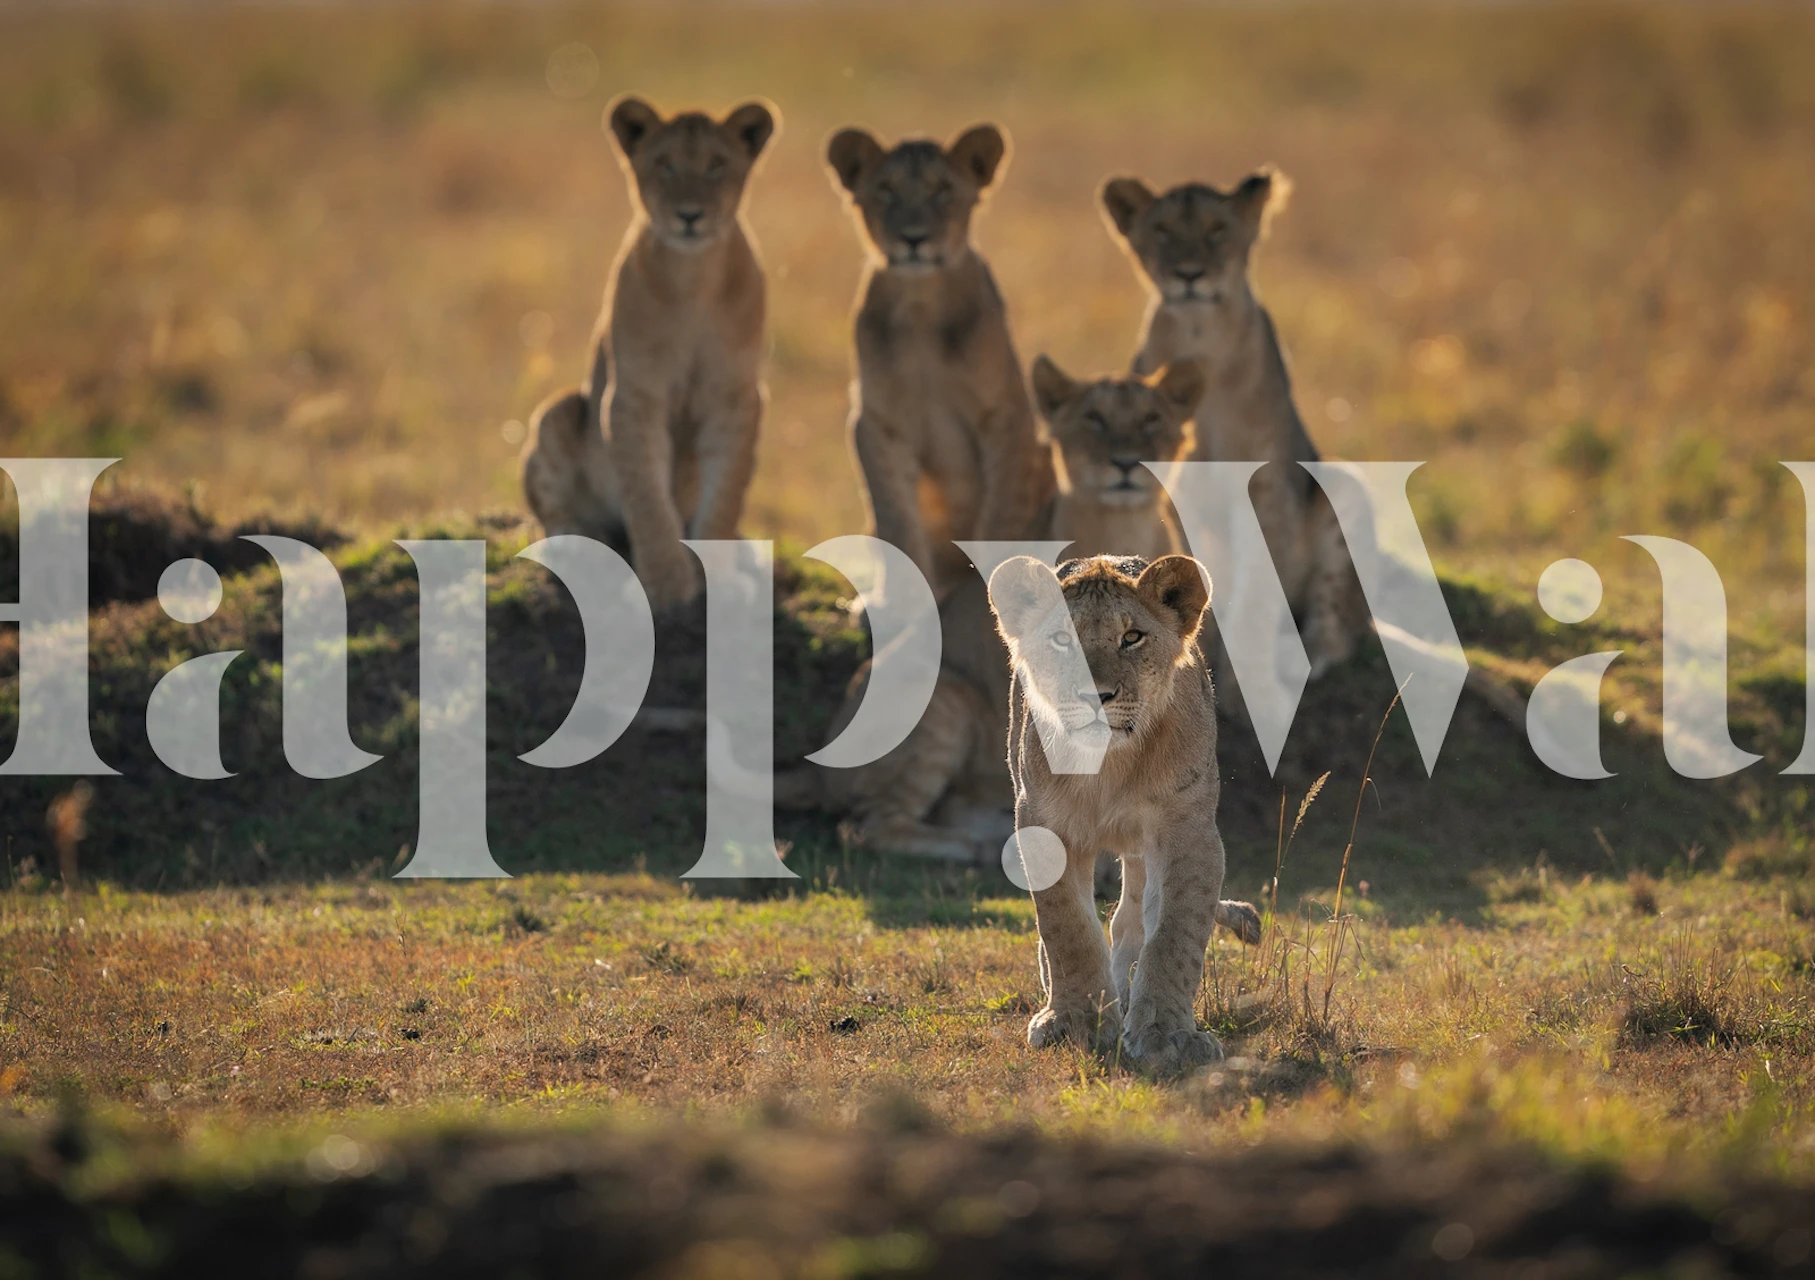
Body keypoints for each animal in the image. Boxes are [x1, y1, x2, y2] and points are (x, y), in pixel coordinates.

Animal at [520, 95, 777, 612]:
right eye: (666, 165)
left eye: (717, 165)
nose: (690, 215)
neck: (693, 276)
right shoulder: (632, 397)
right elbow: (648, 499)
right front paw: (665, 586)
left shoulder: (736, 399)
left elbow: (725, 496)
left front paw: (719, 580)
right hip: (559, 412)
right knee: (554, 516)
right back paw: (581, 543)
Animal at [826, 123, 1053, 599]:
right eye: (886, 190)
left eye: (943, 190)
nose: (914, 238)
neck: (920, 305)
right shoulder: (877, 422)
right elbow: (896, 520)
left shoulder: (1006, 416)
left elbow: (1000, 517)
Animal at [989, 553, 1261, 1076]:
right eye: (1062, 639)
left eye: (1132, 637)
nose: (1096, 696)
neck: (1108, 766)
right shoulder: (1042, 825)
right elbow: (1067, 927)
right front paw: (1076, 1022)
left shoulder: (1186, 829)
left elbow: (1175, 932)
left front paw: (1167, 1035)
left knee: (1131, 920)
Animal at [1100, 168, 1364, 679]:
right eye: (1163, 231)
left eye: (1217, 230)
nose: (1189, 274)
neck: (1200, 338)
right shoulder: (1177, 489)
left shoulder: (1265, 484)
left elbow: (1257, 592)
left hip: (1343, 488)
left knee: (1337, 621)